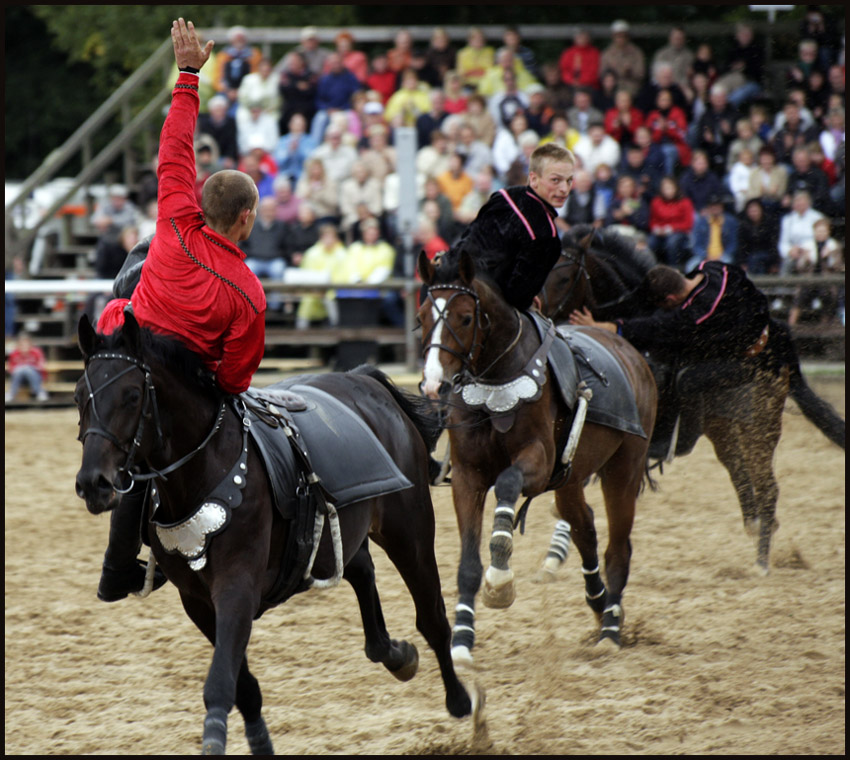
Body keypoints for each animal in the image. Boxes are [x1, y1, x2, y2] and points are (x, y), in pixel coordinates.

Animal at [73, 314, 476, 756]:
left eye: (131, 395)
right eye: (78, 396)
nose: (93, 482)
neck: (207, 468)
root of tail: (362, 379)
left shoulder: (236, 589)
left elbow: (220, 683)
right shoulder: (197, 601)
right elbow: (242, 686)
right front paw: (259, 741)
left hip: (410, 530)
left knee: (432, 616)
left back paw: (460, 699)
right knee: (362, 571)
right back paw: (396, 654)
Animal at [414, 246, 652, 664]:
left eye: (465, 317)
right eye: (421, 317)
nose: (432, 384)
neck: (494, 383)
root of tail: (632, 356)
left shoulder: (537, 464)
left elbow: (508, 486)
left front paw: (500, 576)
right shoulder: (467, 477)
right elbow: (468, 564)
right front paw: (461, 637)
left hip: (624, 468)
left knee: (617, 550)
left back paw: (610, 629)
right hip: (571, 479)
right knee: (585, 529)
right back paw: (598, 603)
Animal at [536, 226, 840, 576]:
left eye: (563, 276)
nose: (536, 306)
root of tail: (776, 346)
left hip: (759, 428)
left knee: (767, 487)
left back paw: (762, 562)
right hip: (724, 429)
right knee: (740, 473)